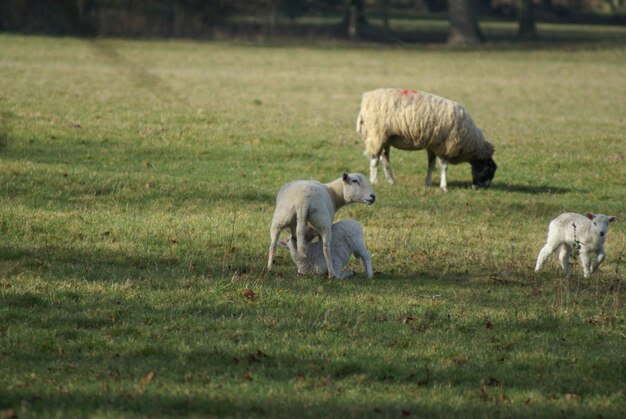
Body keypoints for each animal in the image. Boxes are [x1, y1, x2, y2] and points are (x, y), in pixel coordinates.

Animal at [356, 89, 498, 194]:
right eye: (489, 170)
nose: (484, 188)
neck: (470, 141)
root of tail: (364, 103)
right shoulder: (445, 145)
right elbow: (444, 167)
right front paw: (444, 187)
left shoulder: (433, 146)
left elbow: (431, 165)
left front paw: (428, 183)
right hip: (377, 134)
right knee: (374, 160)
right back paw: (374, 181)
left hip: (386, 138)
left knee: (385, 161)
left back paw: (391, 181)